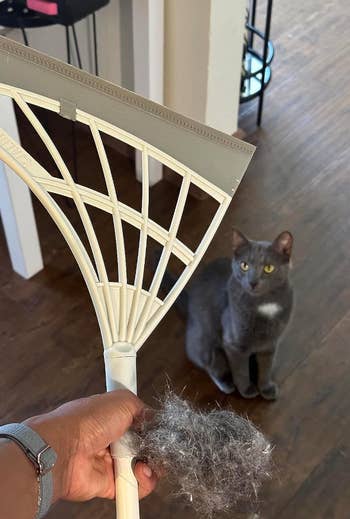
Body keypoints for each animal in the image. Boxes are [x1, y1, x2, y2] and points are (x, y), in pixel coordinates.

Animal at [166, 229, 292, 402]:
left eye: (268, 268)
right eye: (244, 265)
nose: (252, 282)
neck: (264, 304)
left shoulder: (270, 345)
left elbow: (266, 369)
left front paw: (266, 389)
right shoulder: (233, 344)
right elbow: (240, 371)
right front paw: (247, 391)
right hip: (206, 343)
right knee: (210, 366)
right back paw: (226, 384)